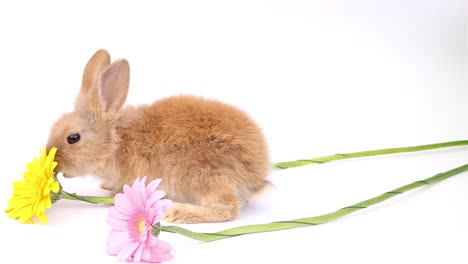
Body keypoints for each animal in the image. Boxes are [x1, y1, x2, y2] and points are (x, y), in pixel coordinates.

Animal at [46, 49, 270, 223]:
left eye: (73, 138)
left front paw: (113, 194)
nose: (54, 160)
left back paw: (178, 213)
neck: (117, 142)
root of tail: (257, 172)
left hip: (205, 175)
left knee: (228, 208)